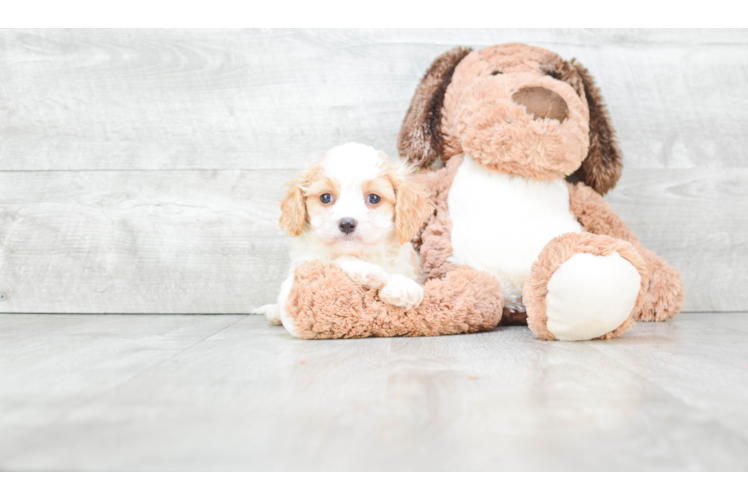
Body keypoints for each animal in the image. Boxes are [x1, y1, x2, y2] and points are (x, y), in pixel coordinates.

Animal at [258, 142, 432, 336]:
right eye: (325, 197)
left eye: (374, 198)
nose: (347, 223)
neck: (361, 252)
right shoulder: (307, 261)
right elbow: (337, 259)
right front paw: (365, 270)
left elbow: (397, 270)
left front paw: (402, 285)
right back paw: (274, 311)